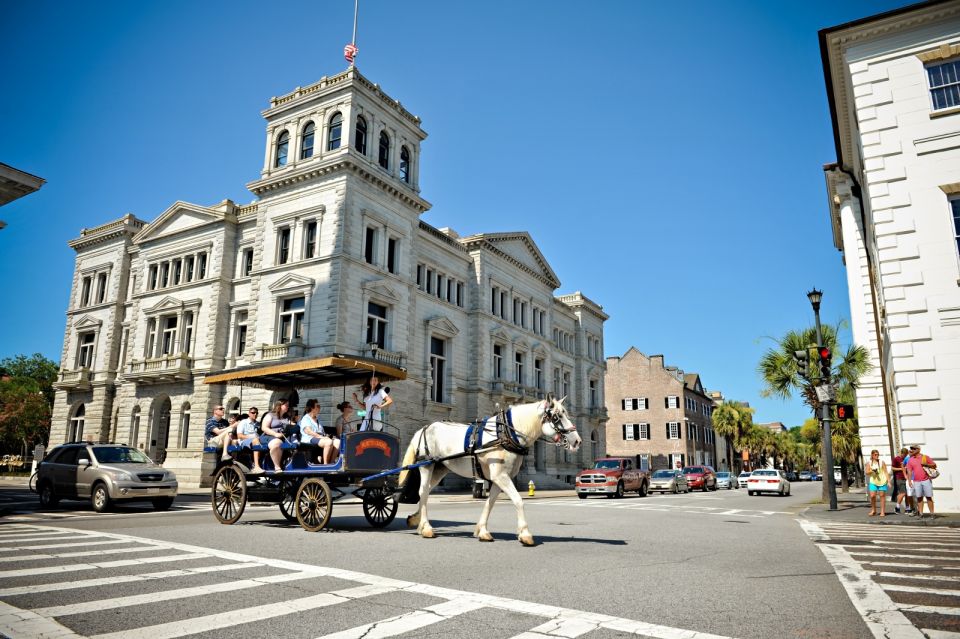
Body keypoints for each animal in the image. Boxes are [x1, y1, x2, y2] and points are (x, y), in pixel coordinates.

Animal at [396, 398, 576, 548]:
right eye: (557, 417)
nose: (577, 440)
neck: (507, 434)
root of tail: (424, 428)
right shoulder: (501, 476)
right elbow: (518, 501)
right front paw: (525, 534)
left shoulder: (499, 478)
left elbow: (490, 503)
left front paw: (482, 531)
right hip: (426, 466)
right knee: (423, 491)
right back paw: (426, 527)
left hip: (440, 468)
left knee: (425, 493)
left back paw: (417, 520)